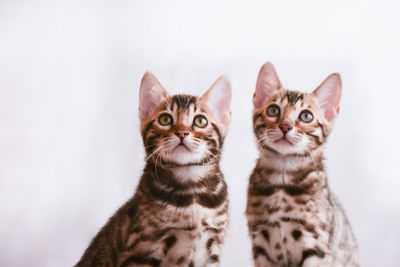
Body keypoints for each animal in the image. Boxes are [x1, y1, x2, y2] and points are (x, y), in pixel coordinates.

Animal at [76, 72, 231, 266]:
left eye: (200, 121)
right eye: (165, 119)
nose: (182, 132)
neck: (191, 190)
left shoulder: (212, 249)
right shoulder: (142, 249)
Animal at [247, 62, 360, 266]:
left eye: (306, 116)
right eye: (273, 110)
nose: (285, 126)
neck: (281, 179)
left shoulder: (315, 245)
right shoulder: (260, 244)